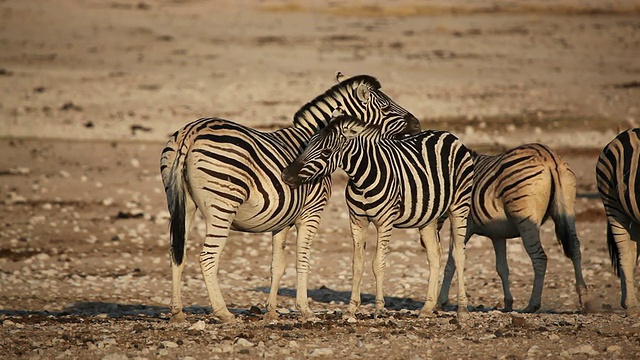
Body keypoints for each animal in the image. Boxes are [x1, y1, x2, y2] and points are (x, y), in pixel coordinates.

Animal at [160, 74, 420, 322]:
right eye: (386, 107)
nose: (417, 124)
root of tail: (192, 132)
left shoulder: (282, 218)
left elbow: (278, 265)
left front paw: (272, 312)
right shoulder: (311, 212)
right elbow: (302, 260)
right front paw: (304, 310)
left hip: (181, 204)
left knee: (176, 253)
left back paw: (177, 312)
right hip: (222, 207)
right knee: (207, 258)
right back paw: (223, 313)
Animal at [282, 114, 472, 320]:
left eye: (326, 152)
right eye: (307, 145)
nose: (286, 175)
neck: (362, 179)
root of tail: (448, 134)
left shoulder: (385, 221)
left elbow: (378, 263)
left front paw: (379, 308)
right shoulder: (357, 221)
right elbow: (357, 264)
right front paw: (351, 308)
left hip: (459, 205)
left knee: (459, 254)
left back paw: (462, 309)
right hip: (428, 217)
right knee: (434, 255)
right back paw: (427, 308)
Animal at [438, 143, 588, 312]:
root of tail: (549, 156)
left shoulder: (465, 225)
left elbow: (451, 262)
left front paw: (441, 301)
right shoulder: (497, 234)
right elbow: (502, 268)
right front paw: (508, 303)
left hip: (526, 220)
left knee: (540, 257)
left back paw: (532, 305)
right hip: (568, 210)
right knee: (575, 247)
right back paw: (584, 299)